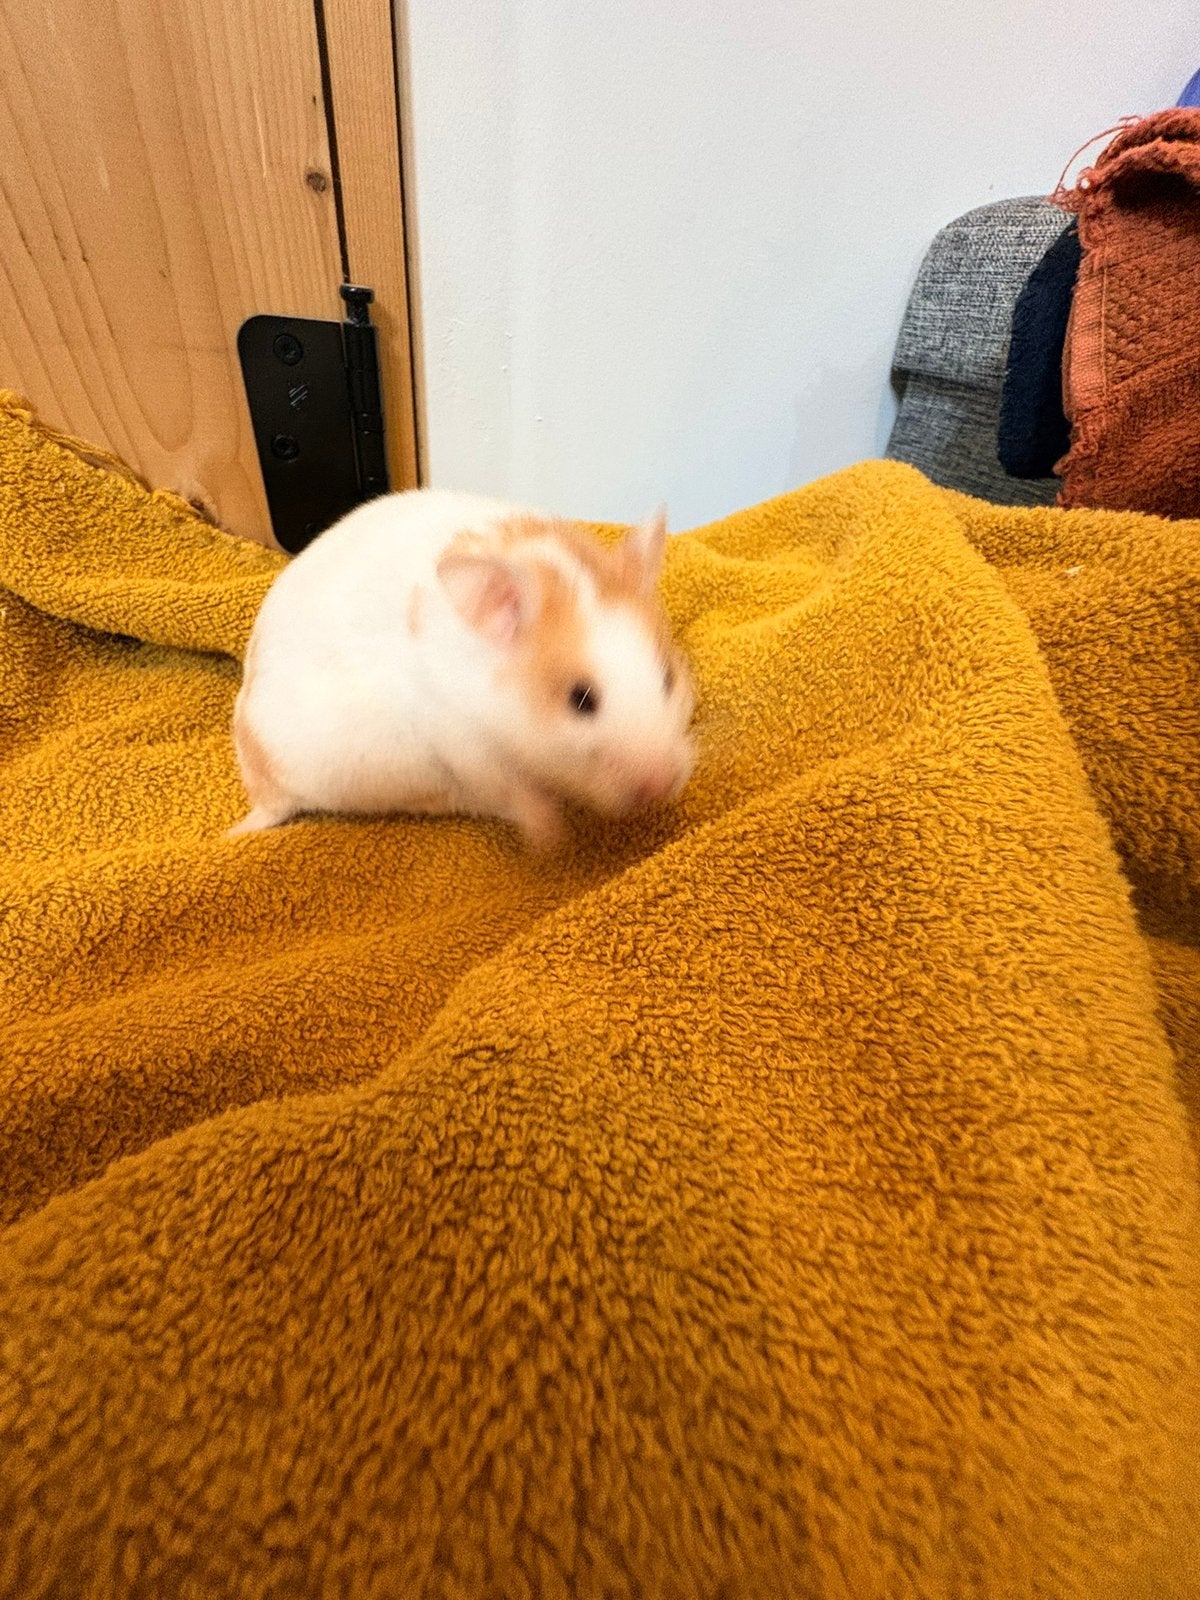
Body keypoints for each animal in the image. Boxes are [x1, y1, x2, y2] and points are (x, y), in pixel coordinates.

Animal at [230, 489, 696, 851]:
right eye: (580, 700)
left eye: (668, 679)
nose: (662, 786)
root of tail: (261, 786)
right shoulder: (467, 750)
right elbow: (519, 797)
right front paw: (552, 841)